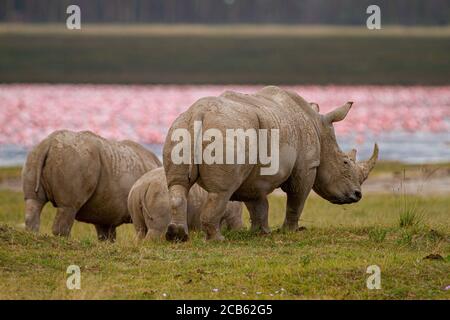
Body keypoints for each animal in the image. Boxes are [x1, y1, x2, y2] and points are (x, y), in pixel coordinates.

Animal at [22, 129, 163, 240]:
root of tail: (49, 143)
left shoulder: (104, 210)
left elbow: (106, 233)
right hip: (75, 160)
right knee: (68, 207)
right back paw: (66, 240)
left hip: (35, 154)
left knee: (34, 201)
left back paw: (33, 234)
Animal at [163, 86, 378, 241]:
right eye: (345, 162)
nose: (357, 195)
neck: (318, 127)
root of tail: (199, 112)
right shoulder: (307, 166)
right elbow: (296, 199)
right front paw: (291, 231)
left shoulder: (253, 176)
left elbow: (257, 203)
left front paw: (262, 232)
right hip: (228, 130)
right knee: (221, 192)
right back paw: (217, 240)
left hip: (181, 127)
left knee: (178, 185)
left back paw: (177, 236)